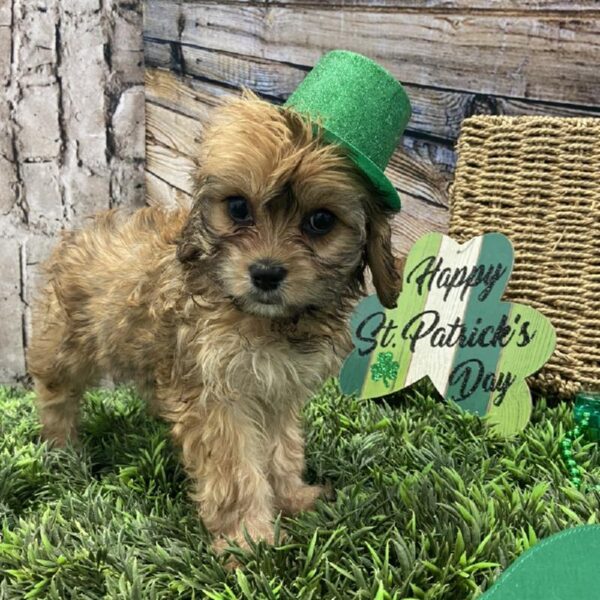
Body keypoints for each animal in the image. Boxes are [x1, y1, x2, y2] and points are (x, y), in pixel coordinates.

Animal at [29, 91, 404, 556]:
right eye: (239, 208)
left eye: (320, 221)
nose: (265, 273)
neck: (265, 322)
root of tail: (79, 233)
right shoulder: (216, 398)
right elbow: (236, 472)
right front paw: (250, 542)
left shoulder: (276, 390)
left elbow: (282, 449)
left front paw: (292, 497)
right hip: (66, 343)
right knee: (56, 392)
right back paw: (62, 448)